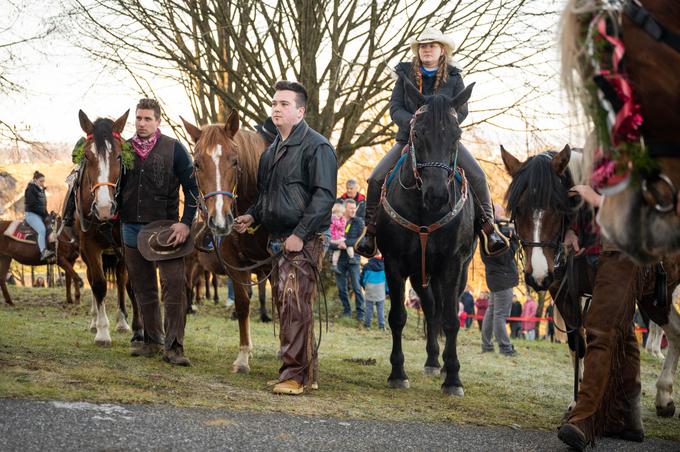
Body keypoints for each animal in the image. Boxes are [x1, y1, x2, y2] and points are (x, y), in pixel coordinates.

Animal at [75, 109, 143, 346]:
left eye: (119, 156)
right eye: (87, 156)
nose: (104, 208)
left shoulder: (127, 245)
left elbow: (132, 285)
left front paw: (138, 328)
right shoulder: (90, 247)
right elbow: (99, 285)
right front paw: (102, 332)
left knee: (122, 280)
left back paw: (122, 321)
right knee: (92, 278)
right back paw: (95, 321)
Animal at [183, 111, 274, 372]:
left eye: (235, 161)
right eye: (196, 163)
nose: (220, 220)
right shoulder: (235, 263)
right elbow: (242, 303)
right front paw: (243, 357)